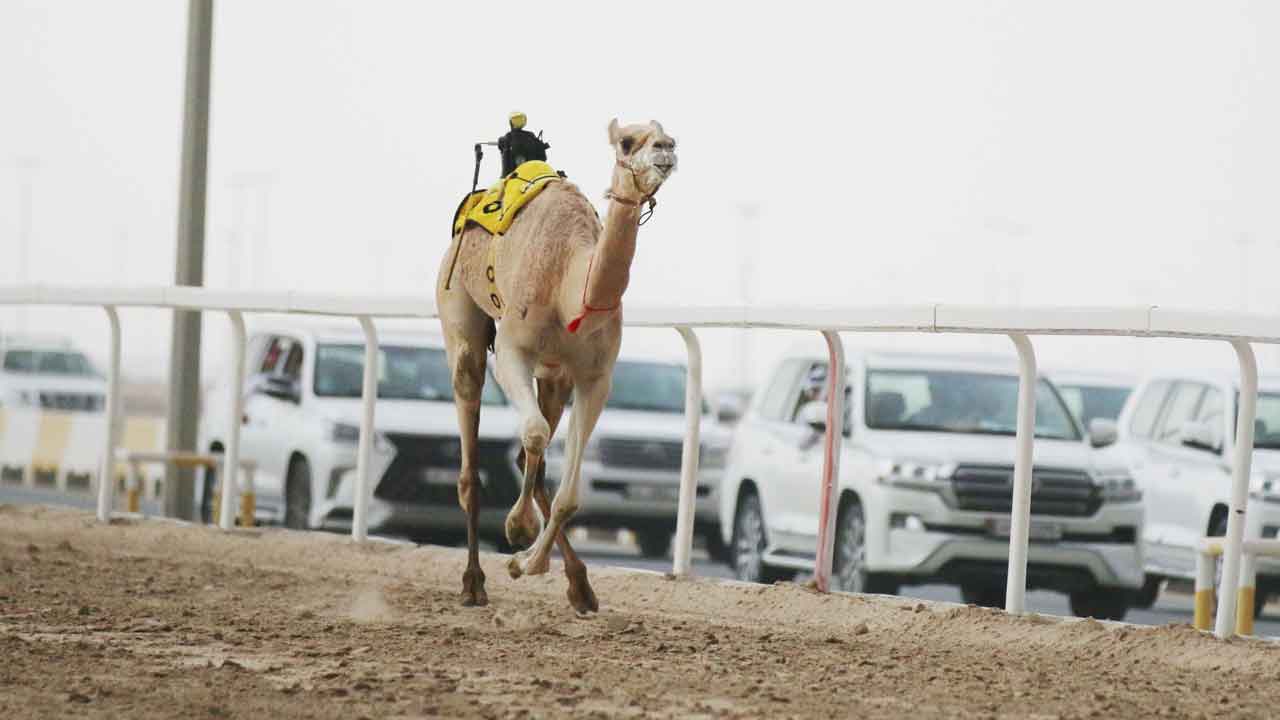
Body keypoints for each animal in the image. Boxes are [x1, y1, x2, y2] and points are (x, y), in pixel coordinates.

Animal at [435, 118, 678, 611]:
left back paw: (577, 582)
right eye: (629, 142)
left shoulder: (595, 376)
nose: (666, 149)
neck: (571, 286)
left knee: (540, 455)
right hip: (458, 309)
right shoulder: (513, 349)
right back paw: (472, 582)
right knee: (473, 456)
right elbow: (533, 433)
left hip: (554, 376)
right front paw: (517, 529)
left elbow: (569, 495)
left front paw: (527, 563)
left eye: (664, 134)